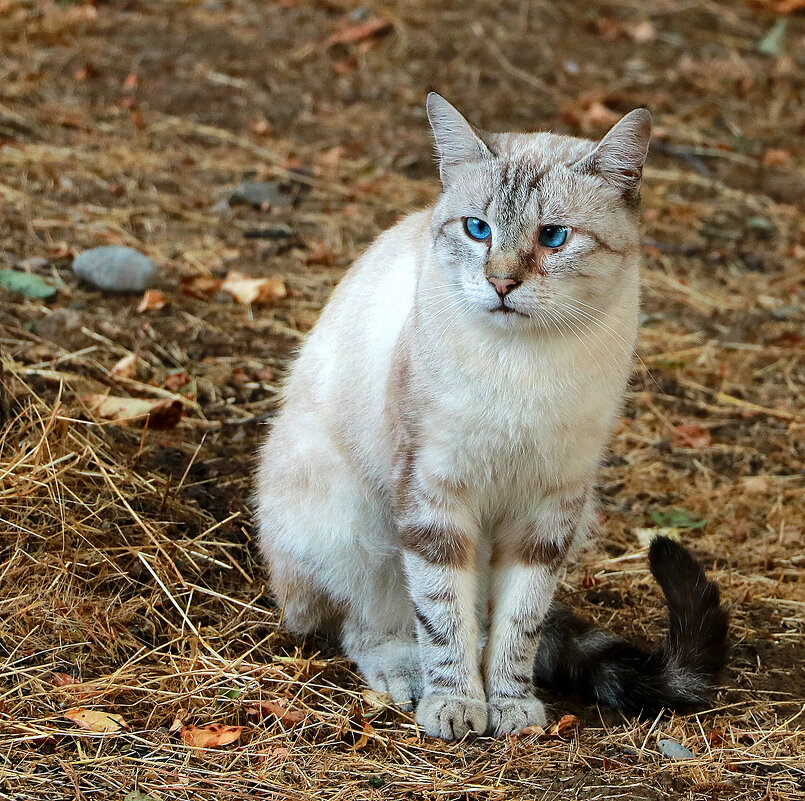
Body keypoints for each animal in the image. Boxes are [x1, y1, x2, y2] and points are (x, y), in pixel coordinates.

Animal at [256, 94, 728, 736]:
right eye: (477, 230)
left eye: (553, 237)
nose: (501, 282)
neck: (521, 371)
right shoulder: (434, 498)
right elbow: (443, 618)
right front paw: (455, 705)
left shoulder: (547, 511)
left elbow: (518, 625)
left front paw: (511, 707)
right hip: (349, 521)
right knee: (361, 621)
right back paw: (405, 674)